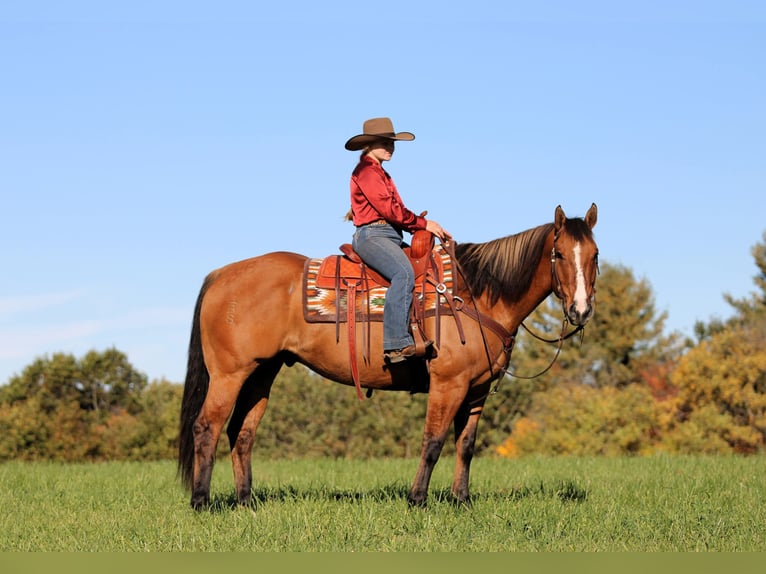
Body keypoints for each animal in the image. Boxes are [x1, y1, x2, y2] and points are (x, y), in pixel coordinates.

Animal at [178, 203, 599, 509]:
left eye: (594, 255)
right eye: (559, 254)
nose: (580, 310)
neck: (476, 293)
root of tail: (221, 275)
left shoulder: (477, 391)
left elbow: (465, 446)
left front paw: (461, 501)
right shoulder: (448, 384)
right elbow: (433, 441)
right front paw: (418, 500)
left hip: (262, 374)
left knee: (241, 432)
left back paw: (246, 502)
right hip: (229, 375)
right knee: (207, 428)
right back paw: (202, 502)